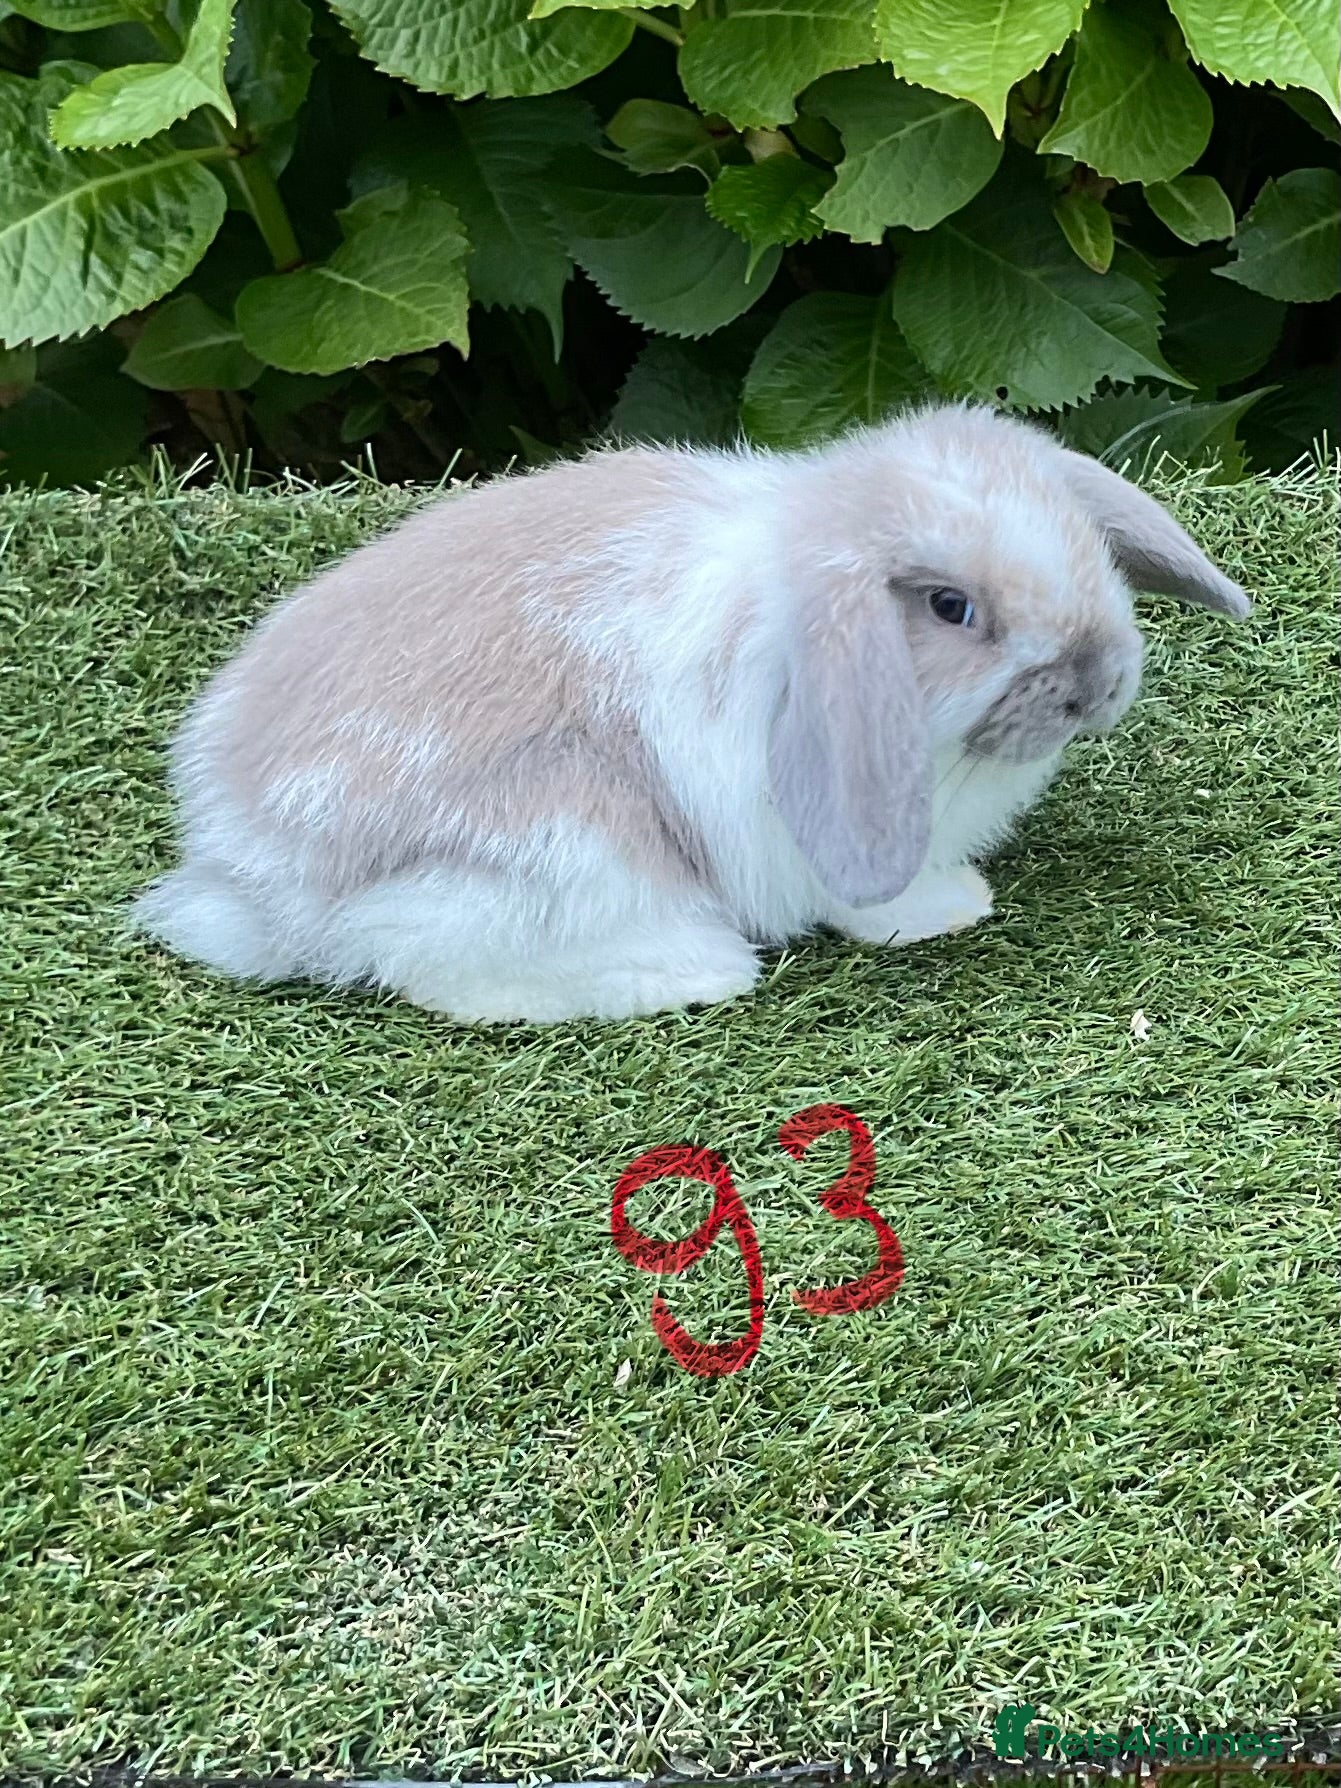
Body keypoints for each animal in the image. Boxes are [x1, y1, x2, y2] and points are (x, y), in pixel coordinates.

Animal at [133, 401, 1249, 1024]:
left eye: (1089, 546)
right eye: (949, 607)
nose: (1097, 682)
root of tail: (248, 875)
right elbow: (863, 897)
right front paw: (945, 908)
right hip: (569, 837)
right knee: (424, 958)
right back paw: (693, 972)